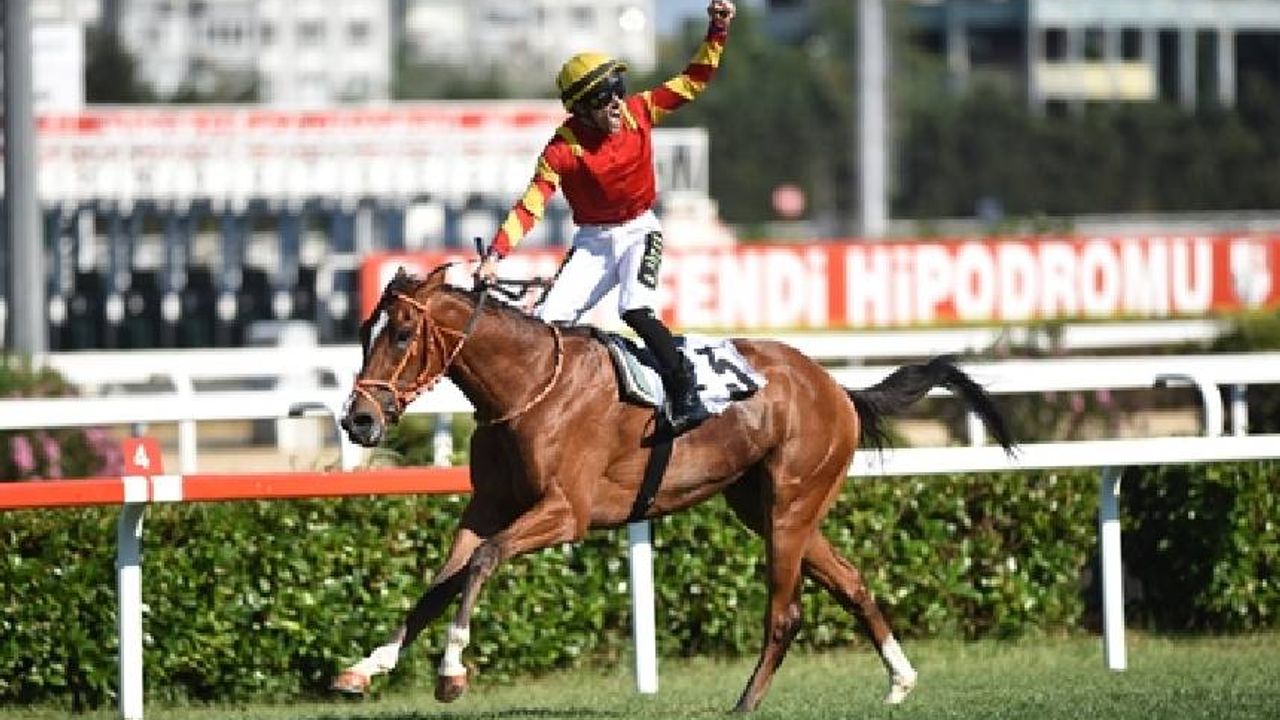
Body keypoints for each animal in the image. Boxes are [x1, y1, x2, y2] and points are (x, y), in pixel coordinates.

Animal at [335, 262, 1013, 707]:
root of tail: (835, 387)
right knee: (851, 581)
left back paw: (745, 704)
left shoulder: (565, 511)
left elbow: (483, 563)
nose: (358, 420)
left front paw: (451, 671)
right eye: (365, 331)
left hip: (791, 504)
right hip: (765, 506)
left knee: (786, 612)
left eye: (401, 334)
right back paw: (900, 677)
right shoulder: (487, 505)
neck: (527, 386)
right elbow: (440, 583)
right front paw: (366, 666)